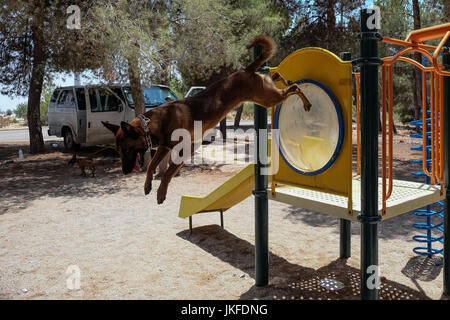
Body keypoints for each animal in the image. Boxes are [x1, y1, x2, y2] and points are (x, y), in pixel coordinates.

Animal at [103, 35, 312, 205]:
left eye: (127, 150)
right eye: (118, 151)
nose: (124, 172)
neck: (153, 124)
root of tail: (245, 69)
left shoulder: (186, 148)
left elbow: (168, 172)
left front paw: (161, 193)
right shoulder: (163, 147)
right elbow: (151, 166)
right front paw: (147, 185)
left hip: (268, 98)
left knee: (295, 88)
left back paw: (307, 102)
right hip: (266, 93)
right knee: (279, 77)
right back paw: (283, 78)